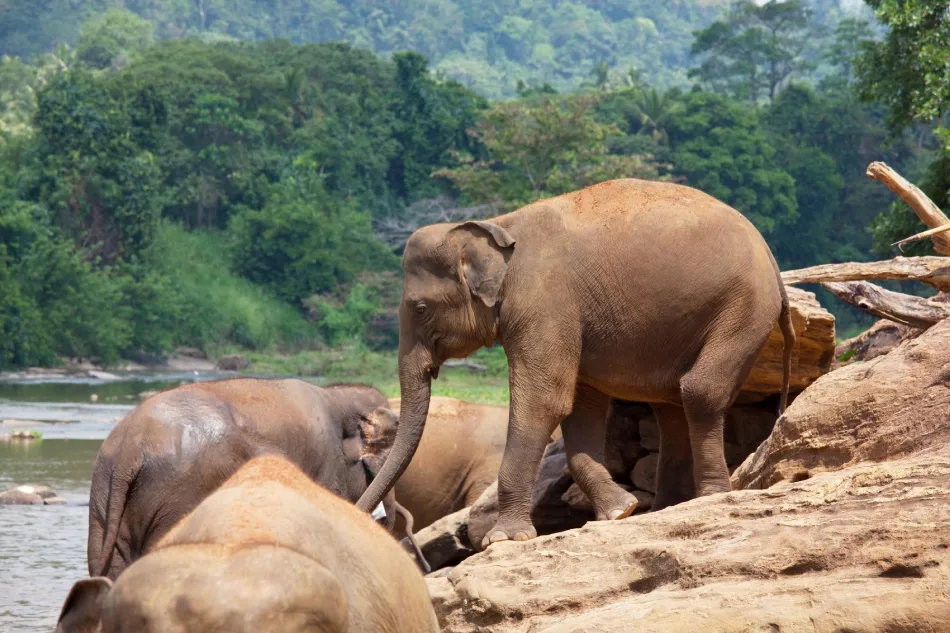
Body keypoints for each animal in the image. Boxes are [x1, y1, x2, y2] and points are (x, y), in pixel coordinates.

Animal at [86, 378, 410, 580]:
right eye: (393, 432)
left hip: (105, 496)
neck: (334, 394)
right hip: (177, 493)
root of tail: (131, 449)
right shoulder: (326, 465)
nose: (386, 521)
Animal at [356, 177, 795, 548]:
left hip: (743, 307)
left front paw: (502, 539)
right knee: (671, 406)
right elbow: (580, 406)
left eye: (420, 309)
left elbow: (545, 401)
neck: (497, 226)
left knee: (699, 391)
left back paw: (711, 497)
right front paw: (620, 511)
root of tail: (772, 259)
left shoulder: (545, 302)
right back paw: (663, 509)